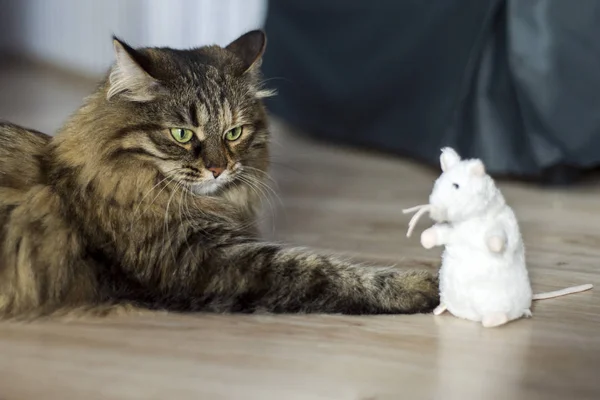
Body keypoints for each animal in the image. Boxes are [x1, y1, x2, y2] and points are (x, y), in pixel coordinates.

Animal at [0, 30, 440, 318]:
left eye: (234, 133)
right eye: (181, 134)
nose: (218, 167)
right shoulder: (201, 262)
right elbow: (321, 270)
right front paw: (425, 284)